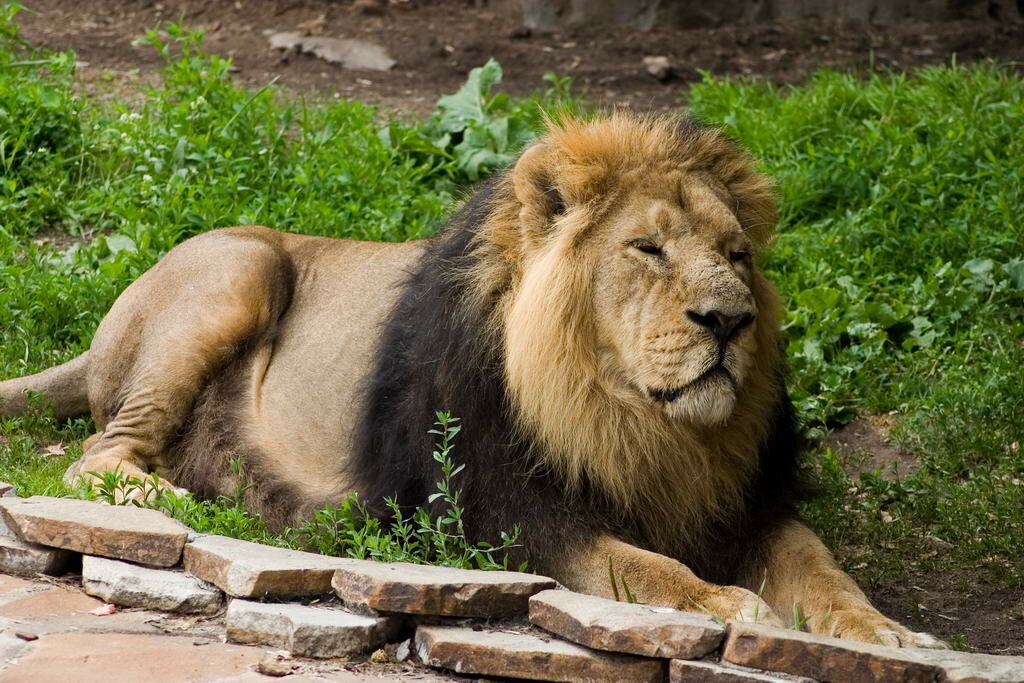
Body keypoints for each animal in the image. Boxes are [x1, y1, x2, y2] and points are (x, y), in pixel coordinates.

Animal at [0, 113, 940, 647]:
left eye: (737, 256)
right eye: (648, 248)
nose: (730, 319)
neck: (637, 424)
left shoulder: (747, 504)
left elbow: (822, 569)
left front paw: (888, 633)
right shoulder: (496, 515)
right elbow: (645, 567)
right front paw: (730, 604)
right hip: (242, 264)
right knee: (95, 455)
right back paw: (178, 498)